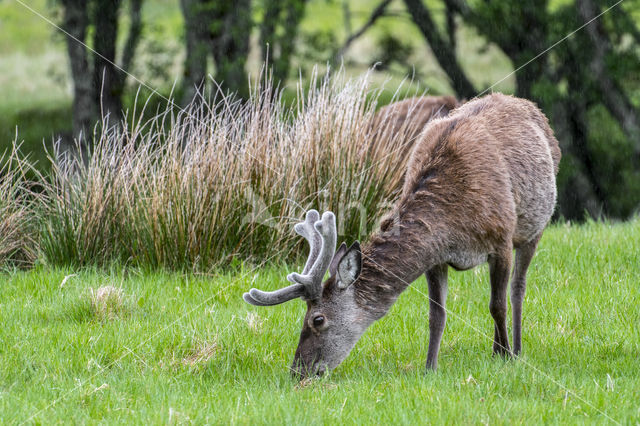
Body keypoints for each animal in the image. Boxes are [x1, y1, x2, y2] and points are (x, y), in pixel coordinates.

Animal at [244, 92, 560, 376]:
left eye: (317, 319)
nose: (298, 370)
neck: (454, 220)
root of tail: (528, 105)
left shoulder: (501, 240)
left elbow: (497, 305)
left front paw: (504, 356)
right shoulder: (436, 258)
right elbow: (437, 315)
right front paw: (430, 368)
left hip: (535, 227)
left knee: (517, 289)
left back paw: (514, 347)